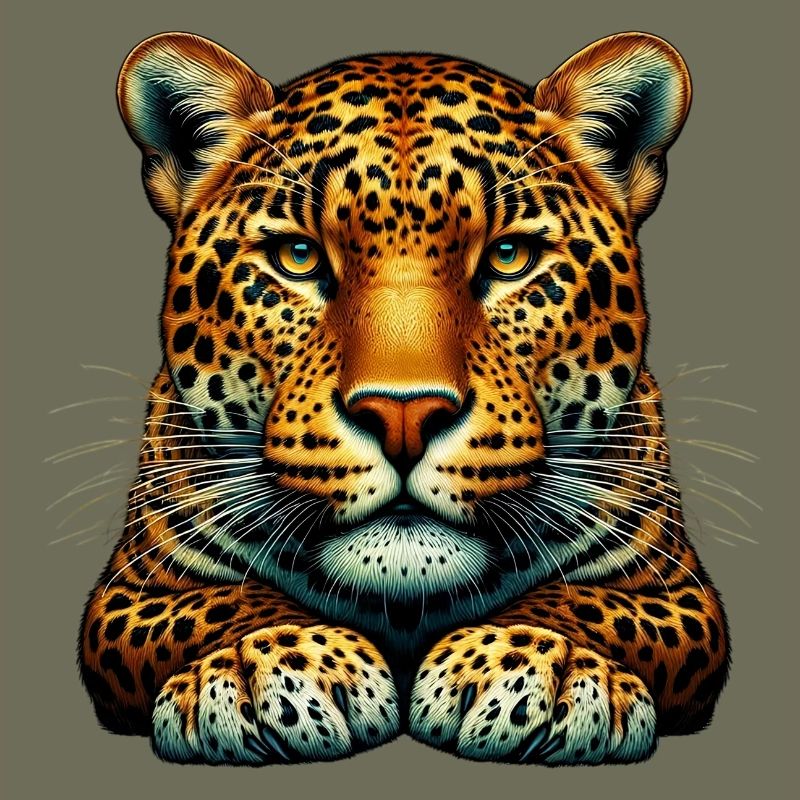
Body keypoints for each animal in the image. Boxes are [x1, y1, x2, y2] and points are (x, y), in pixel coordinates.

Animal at [79, 31, 729, 765]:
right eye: (298, 255)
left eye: (509, 256)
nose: (403, 416)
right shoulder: (130, 591)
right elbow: (222, 603)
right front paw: (274, 666)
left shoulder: (677, 591)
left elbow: (585, 602)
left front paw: (536, 668)